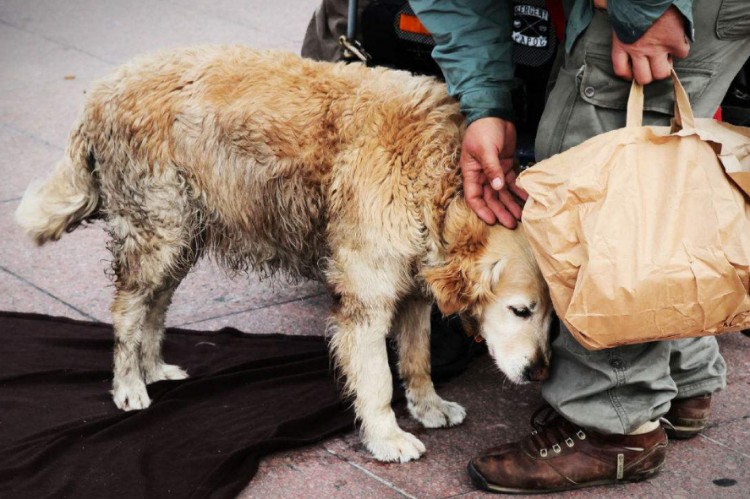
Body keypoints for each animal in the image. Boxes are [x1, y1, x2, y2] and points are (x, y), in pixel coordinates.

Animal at [14, 47, 556, 464]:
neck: (435, 174)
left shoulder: (414, 287)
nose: (539, 373)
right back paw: (129, 384)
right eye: (521, 310)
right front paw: (388, 437)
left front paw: (428, 405)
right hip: (156, 231)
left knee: (156, 307)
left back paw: (154, 369)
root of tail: (102, 87)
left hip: (181, 237)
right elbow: (377, 379)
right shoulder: (367, 297)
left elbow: (417, 356)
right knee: (128, 311)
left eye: (552, 318)